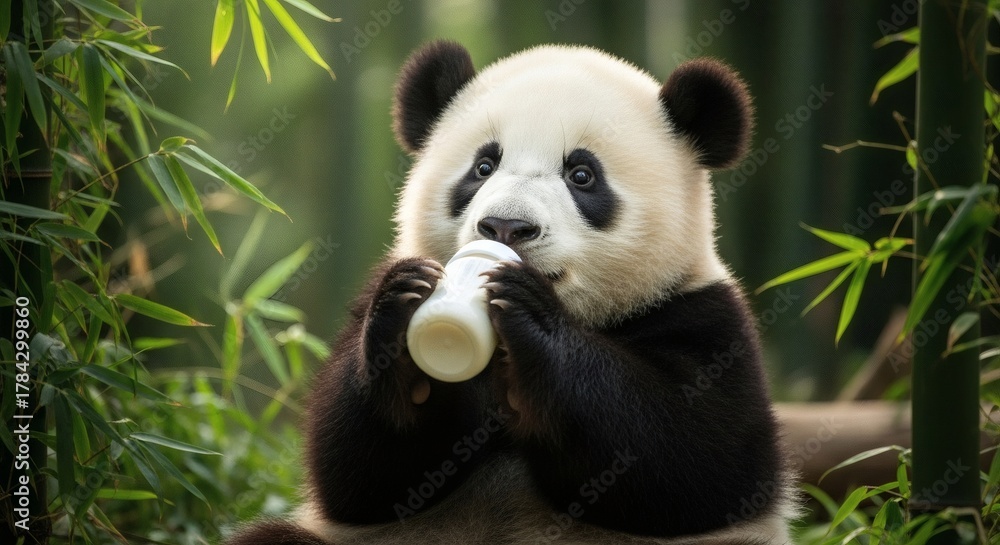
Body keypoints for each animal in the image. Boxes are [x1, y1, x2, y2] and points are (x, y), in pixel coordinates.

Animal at [227, 41, 796, 545]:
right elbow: (355, 474)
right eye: (483, 167)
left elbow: (694, 459)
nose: (505, 226)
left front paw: (531, 317)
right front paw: (404, 307)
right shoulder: (360, 316)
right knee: (273, 538)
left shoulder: (703, 318)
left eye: (581, 174)